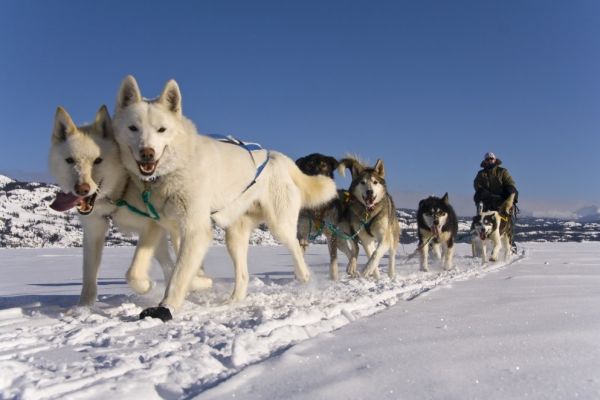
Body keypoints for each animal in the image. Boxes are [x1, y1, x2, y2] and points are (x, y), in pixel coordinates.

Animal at [49, 105, 213, 306]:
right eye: (70, 160)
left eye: (98, 160)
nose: (82, 189)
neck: (122, 190)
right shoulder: (94, 230)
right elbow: (89, 278)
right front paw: (83, 308)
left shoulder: (151, 226)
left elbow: (133, 273)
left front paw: (148, 286)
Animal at [112, 76, 338, 322]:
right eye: (133, 128)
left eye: (161, 129)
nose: (147, 153)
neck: (175, 168)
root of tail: (274, 155)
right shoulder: (158, 225)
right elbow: (135, 272)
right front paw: (167, 284)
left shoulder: (195, 230)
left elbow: (179, 274)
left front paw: (166, 306)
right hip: (234, 236)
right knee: (243, 275)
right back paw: (233, 300)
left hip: (279, 226)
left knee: (296, 248)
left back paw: (304, 277)